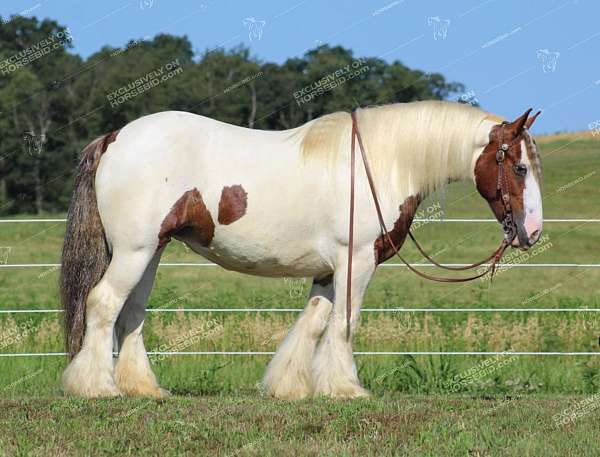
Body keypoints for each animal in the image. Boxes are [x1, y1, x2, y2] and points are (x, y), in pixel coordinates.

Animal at [59, 99, 544, 396]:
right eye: (519, 167)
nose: (533, 232)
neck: (383, 164)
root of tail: (115, 137)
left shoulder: (329, 268)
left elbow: (313, 322)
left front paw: (290, 386)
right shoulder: (357, 261)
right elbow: (345, 323)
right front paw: (346, 388)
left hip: (150, 252)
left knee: (131, 313)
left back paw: (143, 387)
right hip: (134, 251)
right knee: (103, 303)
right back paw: (97, 386)